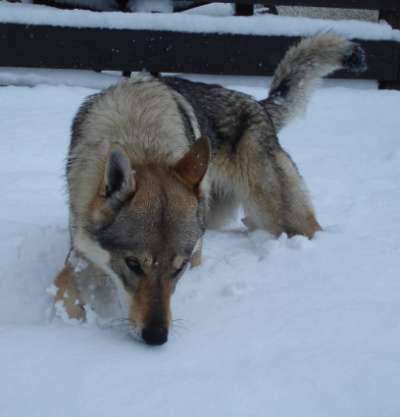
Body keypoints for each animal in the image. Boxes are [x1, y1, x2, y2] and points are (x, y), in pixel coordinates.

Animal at [53, 35, 366, 344]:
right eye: (133, 264)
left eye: (179, 268)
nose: (157, 337)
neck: (140, 140)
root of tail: (260, 105)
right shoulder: (81, 250)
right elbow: (63, 293)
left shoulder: (194, 253)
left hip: (280, 216)